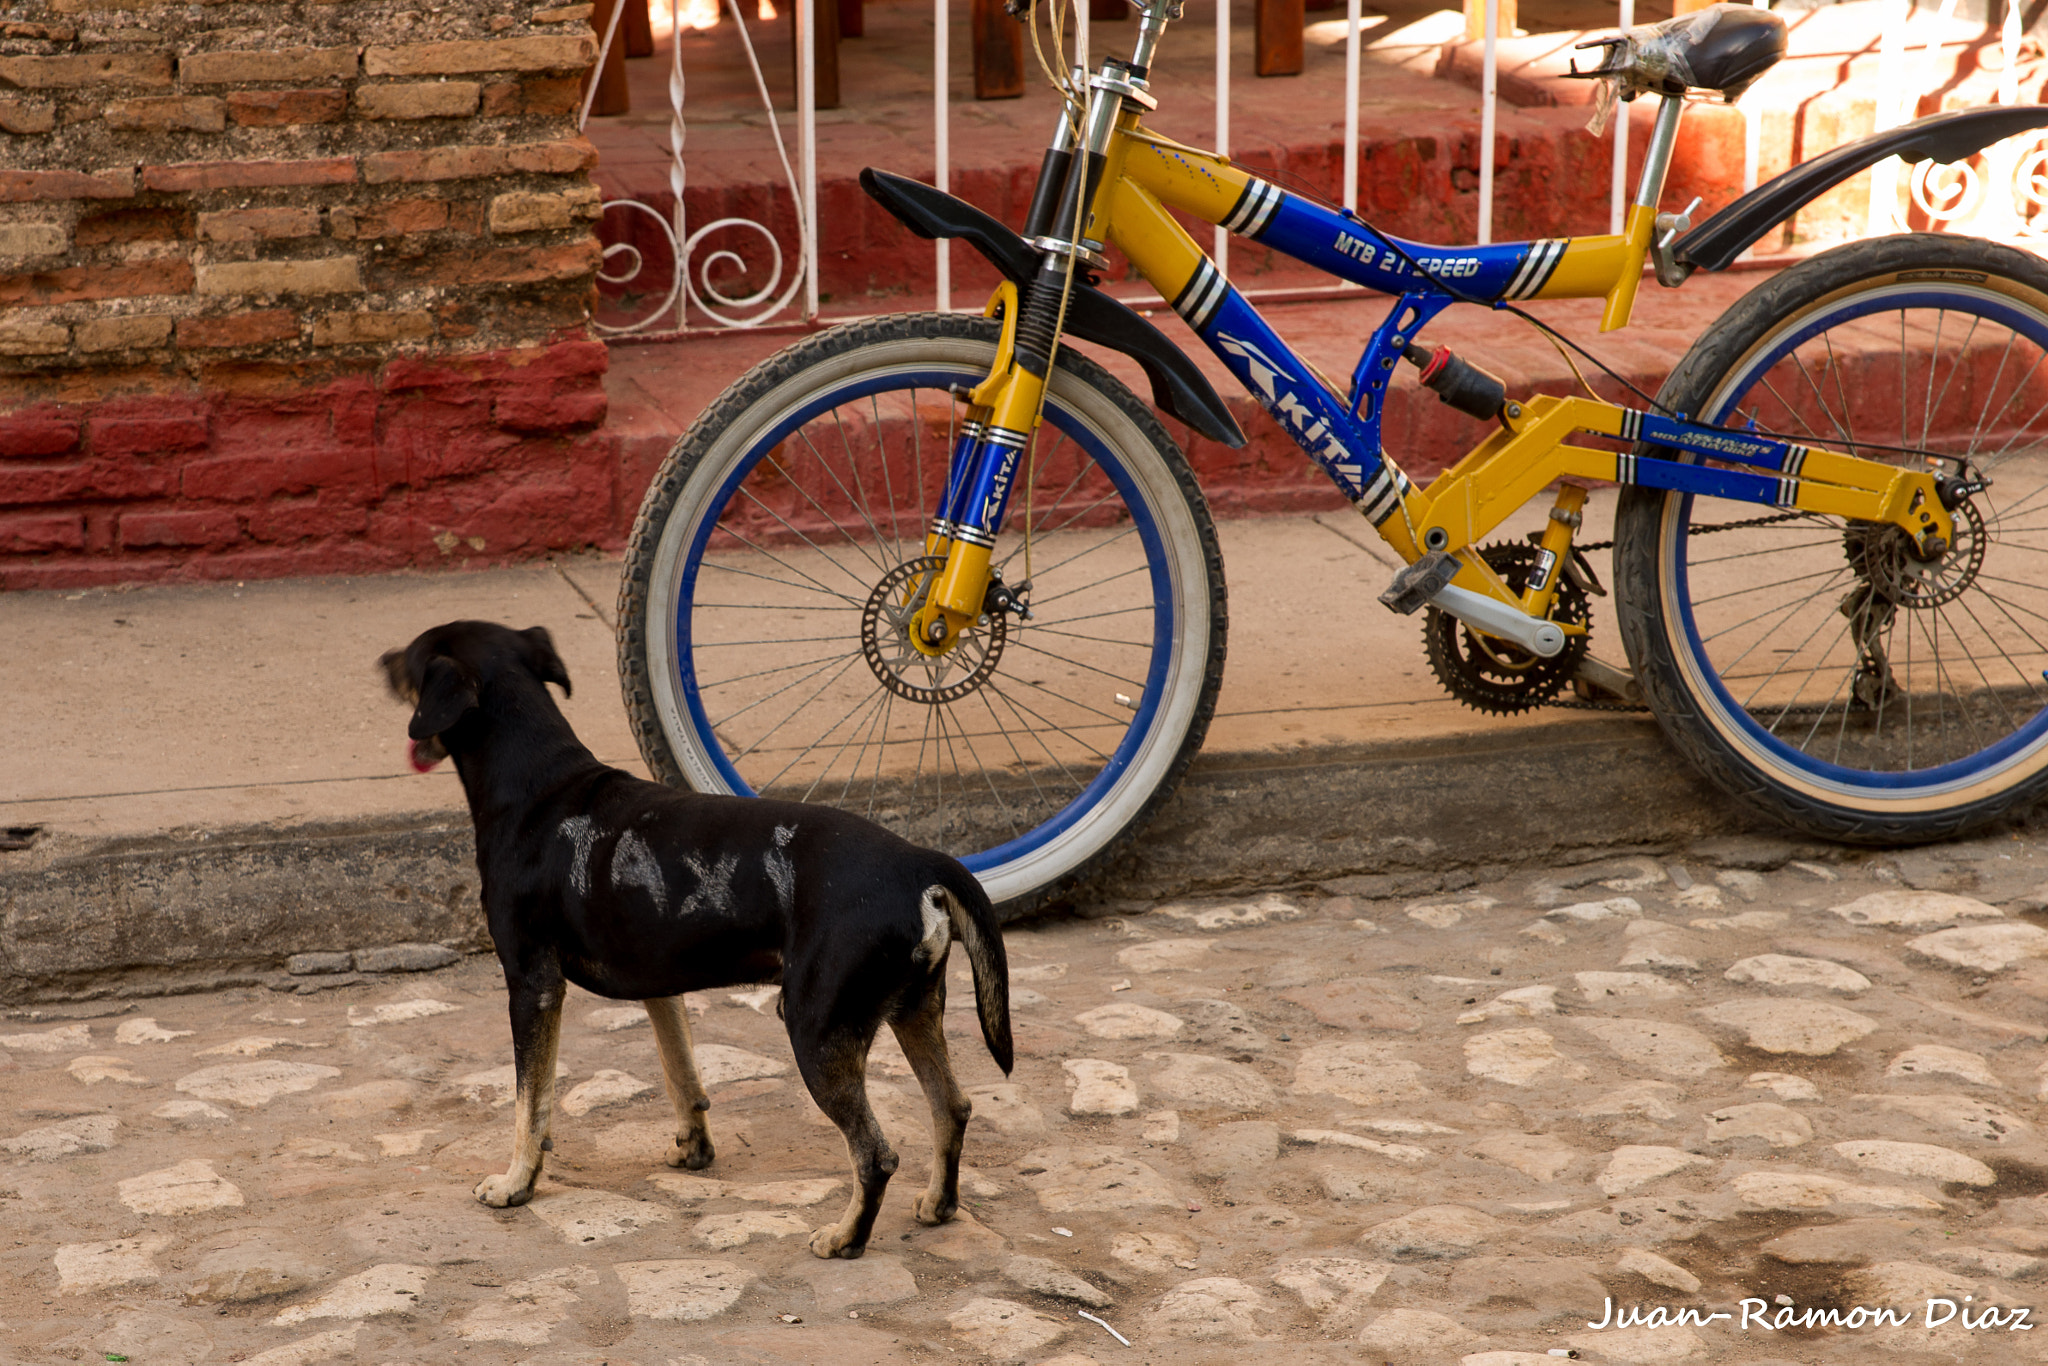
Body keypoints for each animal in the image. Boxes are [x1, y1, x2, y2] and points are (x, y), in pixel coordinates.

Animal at [380, 618, 1011, 1261]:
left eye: (410, 663)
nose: (381, 660)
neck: (540, 787)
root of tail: (918, 862)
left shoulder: (533, 986)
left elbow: (529, 1103)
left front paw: (516, 1183)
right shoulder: (656, 980)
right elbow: (680, 1071)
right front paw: (694, 1146)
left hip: (816, 1029)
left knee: (875, 1155)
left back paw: (846, 1238)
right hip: (914, 1012)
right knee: (953, 1108)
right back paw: (939, 1204)